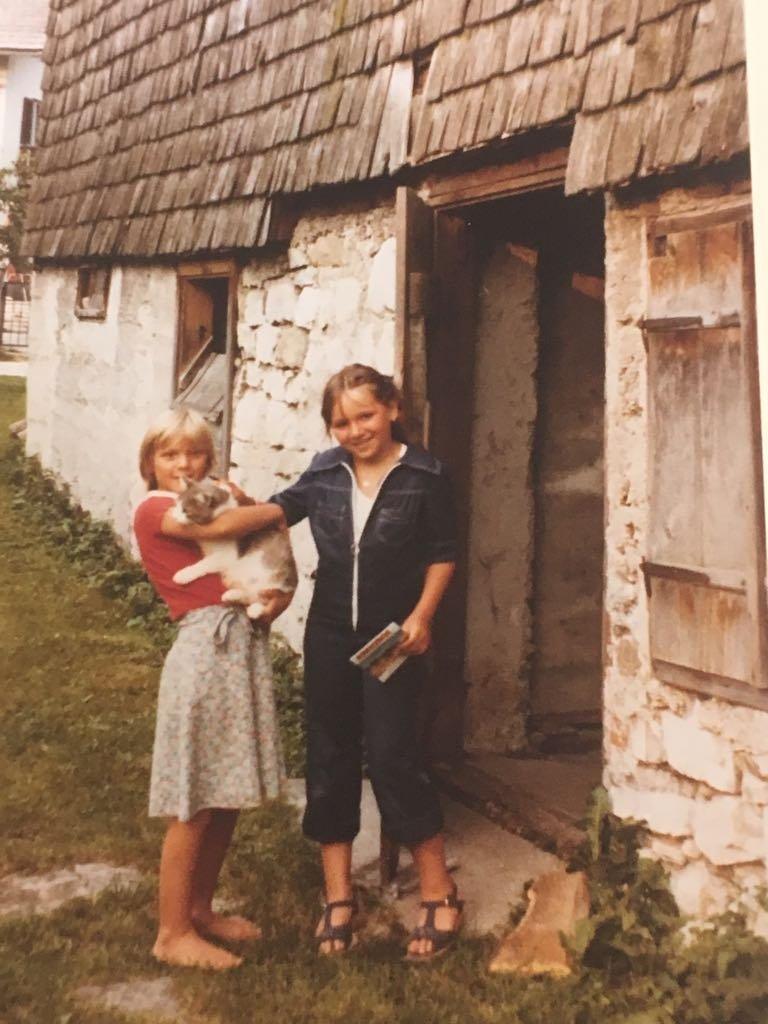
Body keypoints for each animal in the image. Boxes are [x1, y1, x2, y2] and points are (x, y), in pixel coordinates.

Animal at [171, 477, 296, 618]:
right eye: (177, 505)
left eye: (185, 510)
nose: (173, 516)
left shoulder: (227, 555)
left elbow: (204, 564)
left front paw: (183, 574)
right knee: (249, 595)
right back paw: (231, 595)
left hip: (274, 577)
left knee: (262, 598)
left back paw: (255, 609)